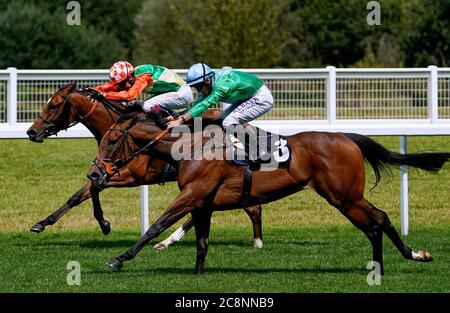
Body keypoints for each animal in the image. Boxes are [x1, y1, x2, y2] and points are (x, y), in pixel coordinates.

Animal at [25, 83, 264, 249]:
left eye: (53, 105)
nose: (31, 132)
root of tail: (246, 127)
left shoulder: (132, 175)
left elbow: (93, 187)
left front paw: (104, 224)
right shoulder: (106, 168)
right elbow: (79, 194)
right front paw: (42, 223)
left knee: (249, 207)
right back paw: (168, 241)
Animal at [88, 114, 450, 272]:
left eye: (111, 140)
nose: (94, 173)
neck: (191, 146)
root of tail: (347, 138)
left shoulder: (192, 194)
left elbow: (156, 225)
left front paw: (119, 258)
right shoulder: (203, 202)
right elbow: (202, 242)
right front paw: (198, 274)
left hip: (343, 197)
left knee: (374, 223)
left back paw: (389, 264)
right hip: (346, 196)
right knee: (380, 219)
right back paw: (410, 256)